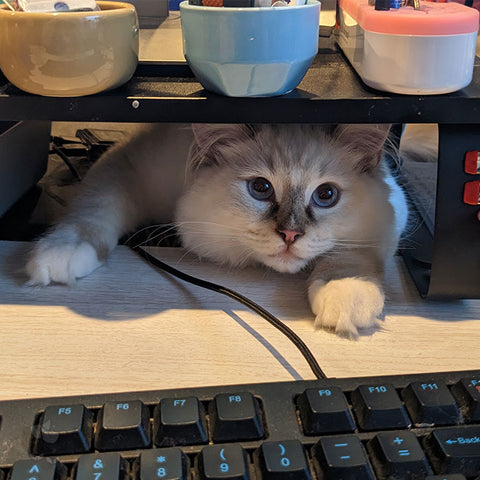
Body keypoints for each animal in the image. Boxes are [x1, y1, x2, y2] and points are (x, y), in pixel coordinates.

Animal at [25, 125, 408, 340]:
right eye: (260, 188)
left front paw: (348, 293)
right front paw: (62, 252)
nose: (289, 235)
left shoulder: (391, 212)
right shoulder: (127, 165)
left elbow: (349, 254)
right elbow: (93, 209)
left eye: (326, 195)